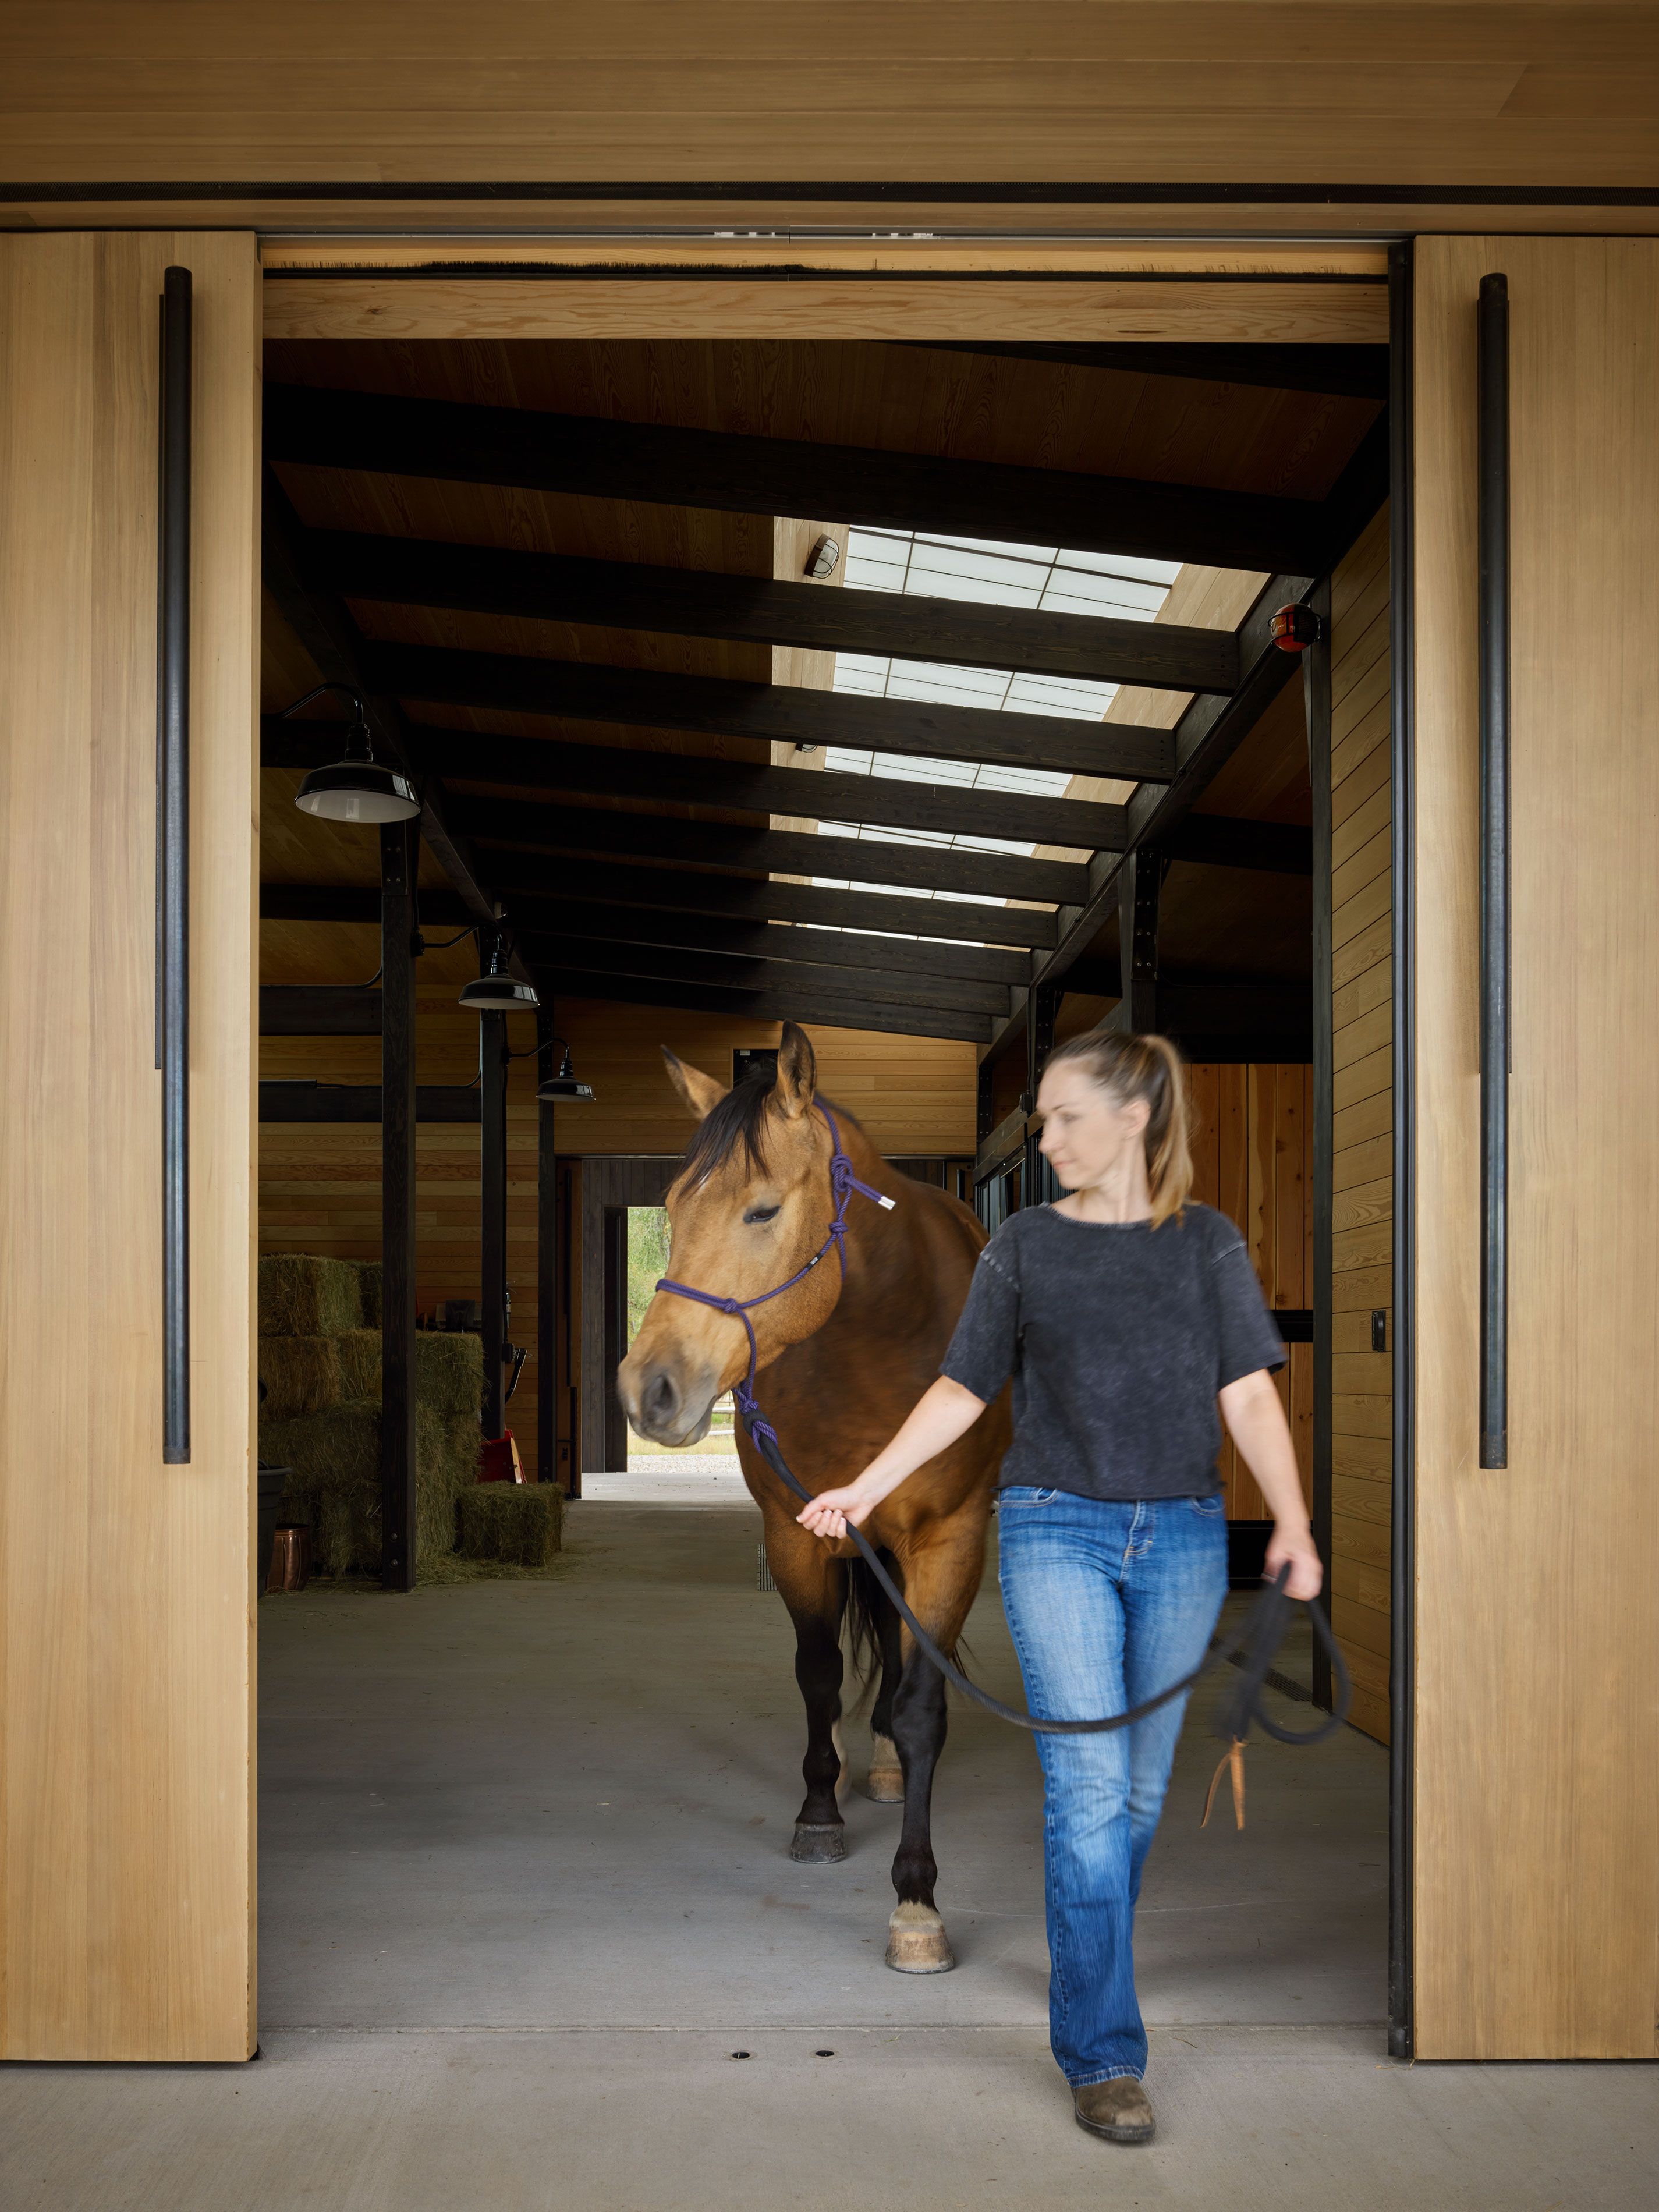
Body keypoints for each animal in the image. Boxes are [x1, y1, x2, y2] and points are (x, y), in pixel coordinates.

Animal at [616, 1023, 1008, 1974]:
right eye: (671, 1207)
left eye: (761, 1211)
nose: (648, 1389)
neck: (880, 1346)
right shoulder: (796, 1536)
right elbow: (818, 1671)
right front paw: (819, 1813)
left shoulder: (949, 1539)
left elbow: (922, 1704)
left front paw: (916, 1901)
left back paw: (886, 1765)